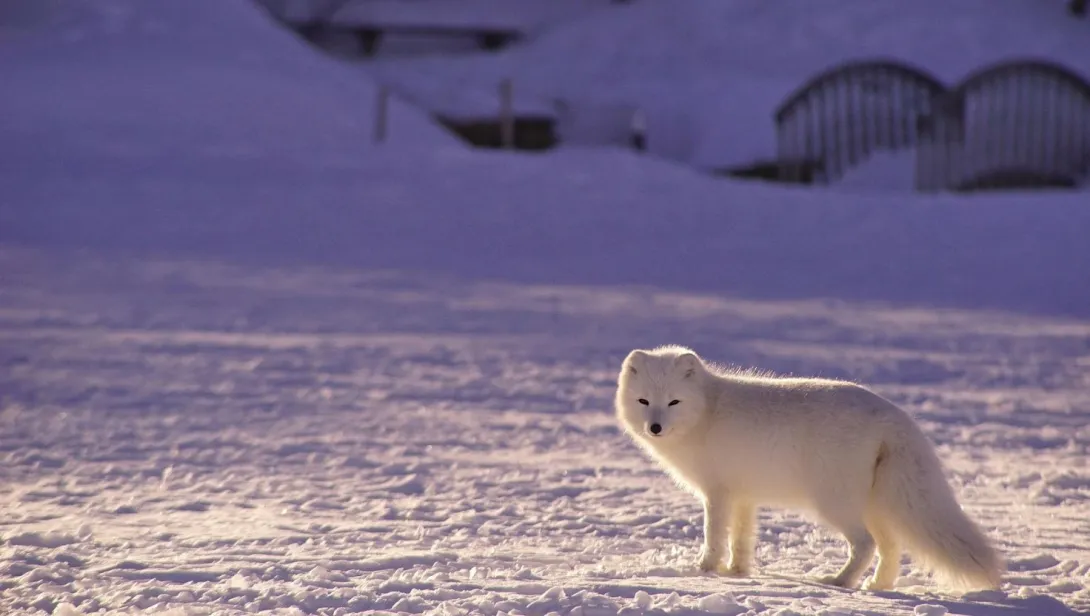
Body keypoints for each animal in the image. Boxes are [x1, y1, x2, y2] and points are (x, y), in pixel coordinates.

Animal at [614, 344, 1002, 588]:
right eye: (644, 401)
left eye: (674, 402)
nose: (655, 427)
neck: (706, 412)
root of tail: (894, 415)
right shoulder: (744, 496)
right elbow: (741, 538)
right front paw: (737, 572)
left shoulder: (717, 493)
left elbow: (714, 535)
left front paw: (705, 570)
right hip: (876, 505)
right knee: (891, 547)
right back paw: (877, 586)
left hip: (834, 503)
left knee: (865, 544)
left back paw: (841, 581)